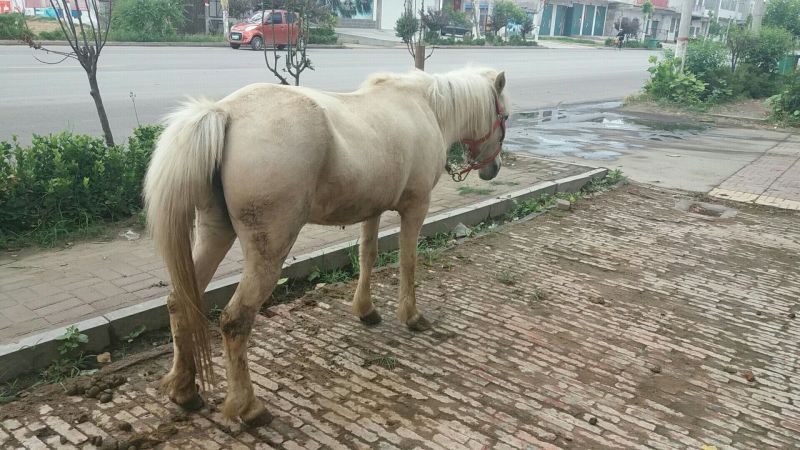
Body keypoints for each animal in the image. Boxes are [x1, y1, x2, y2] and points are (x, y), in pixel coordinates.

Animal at [143, 66, 510, 426]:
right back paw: (248, 408)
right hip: (267, 251)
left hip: (214, 232)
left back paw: (184, 389)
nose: (493, 169)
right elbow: (408, 261)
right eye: (504, 116)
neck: (425, 106)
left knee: (179, 302)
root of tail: (225, 112)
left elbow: (367, 256)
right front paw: (412, 316)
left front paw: (366, 310)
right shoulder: (415, 207)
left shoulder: (373, 210)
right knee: (235, 320)